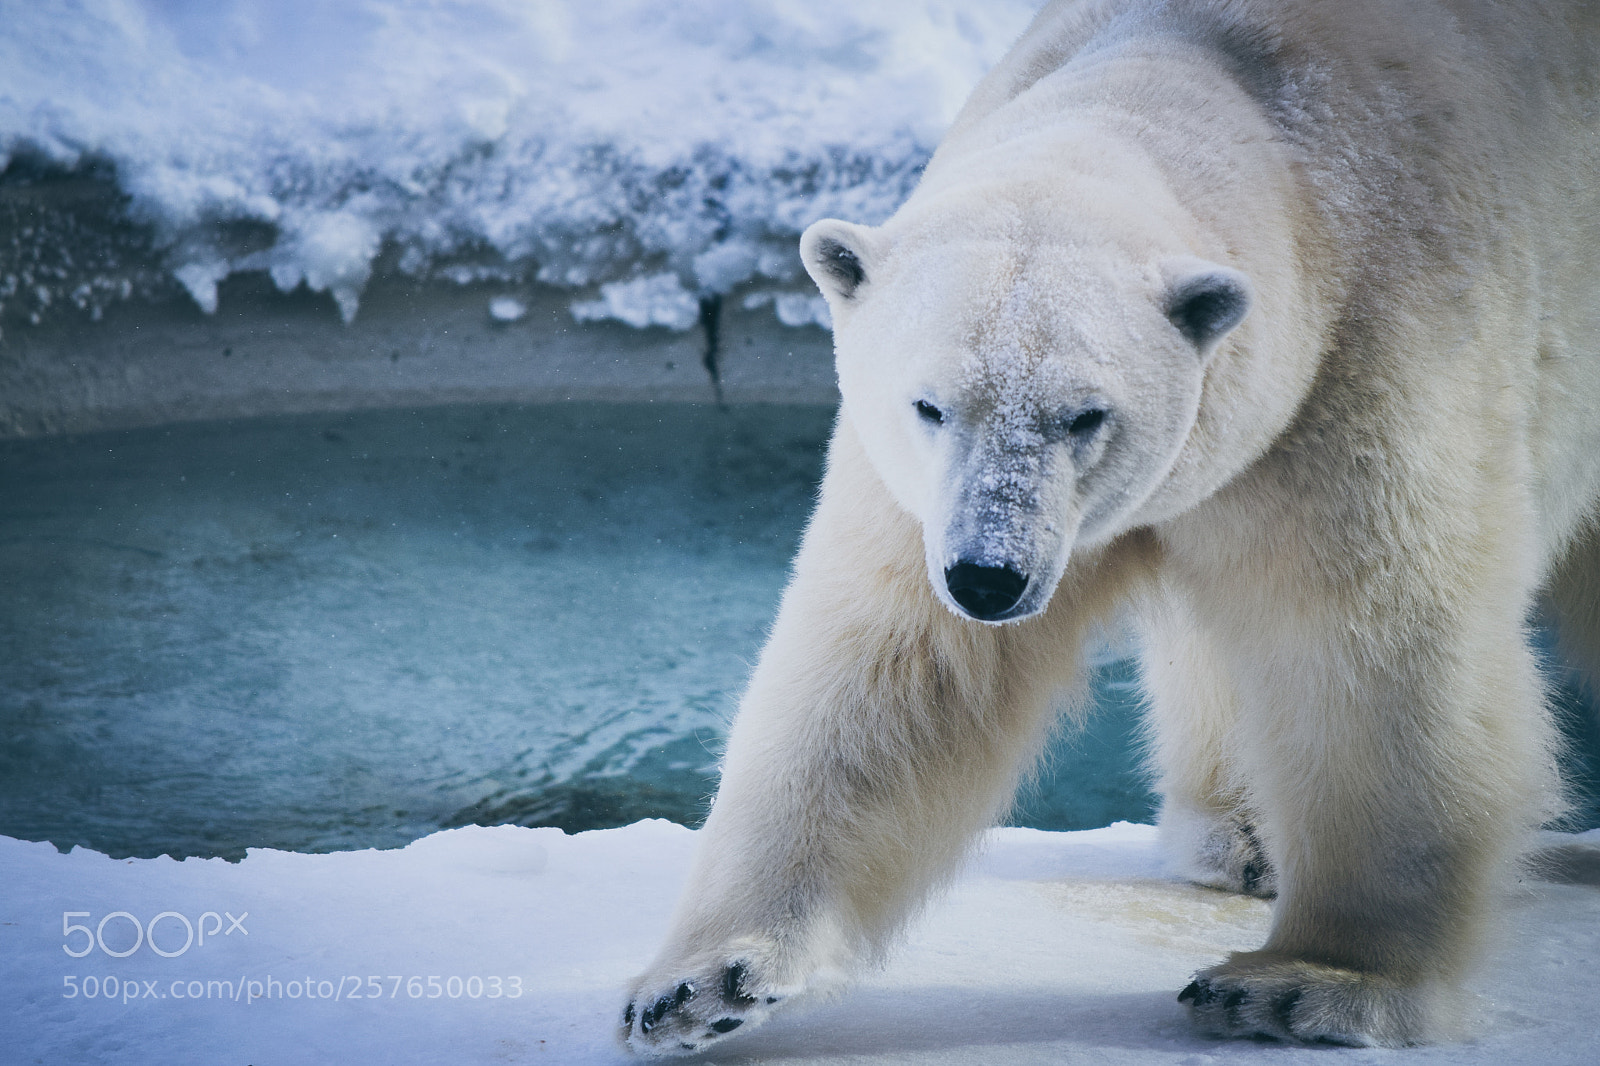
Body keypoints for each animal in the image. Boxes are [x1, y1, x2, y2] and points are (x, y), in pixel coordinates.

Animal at [621, 0, 1600, 1053]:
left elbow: (1370, 647)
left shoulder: (1363, 367)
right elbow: (891, 668)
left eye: (1085, 415)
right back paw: (1241, 835)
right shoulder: (917, 497)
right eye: (929, 405)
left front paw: (1307, 984)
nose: (988, 576)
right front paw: (701, 982)